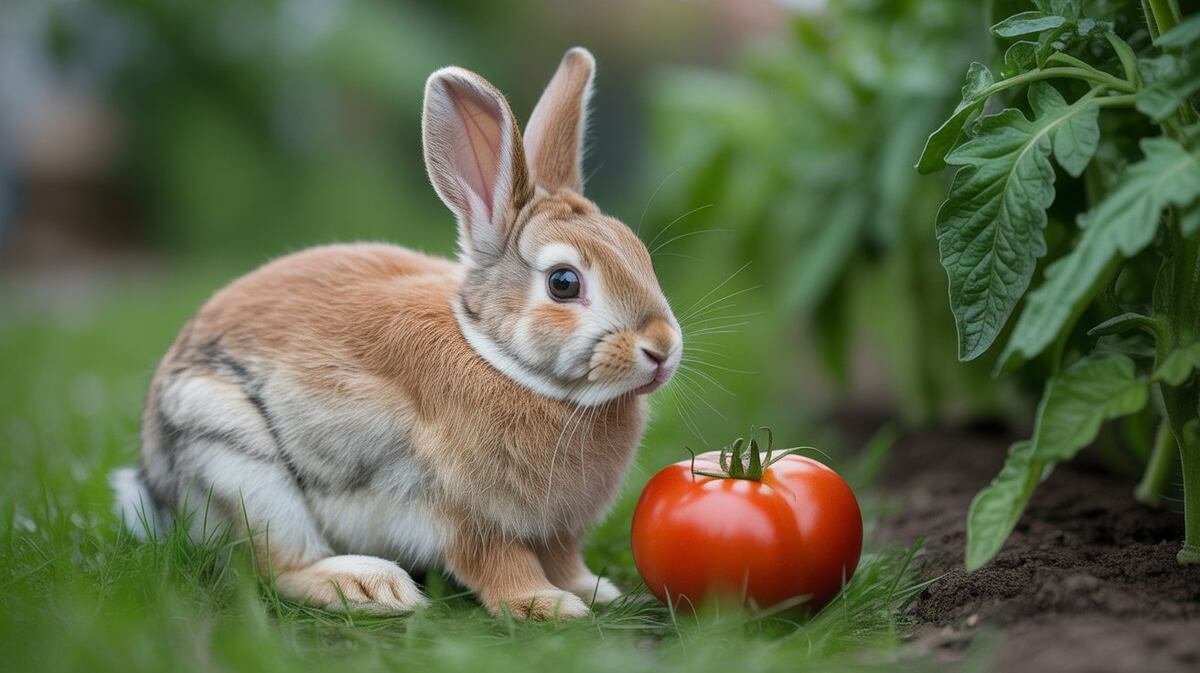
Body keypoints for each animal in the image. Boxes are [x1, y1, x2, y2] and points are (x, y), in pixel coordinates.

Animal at [109, 47, 682, 620]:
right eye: (564, 283)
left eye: (640, 254)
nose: (663, 349)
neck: (499, 359)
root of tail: (158, 491)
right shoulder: (464, 515)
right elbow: (498, 562)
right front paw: (546, 605)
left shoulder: (557, 531)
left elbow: (563, 559)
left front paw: (593, 590)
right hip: (237, 462)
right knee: (275, 568)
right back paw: (370, 586)